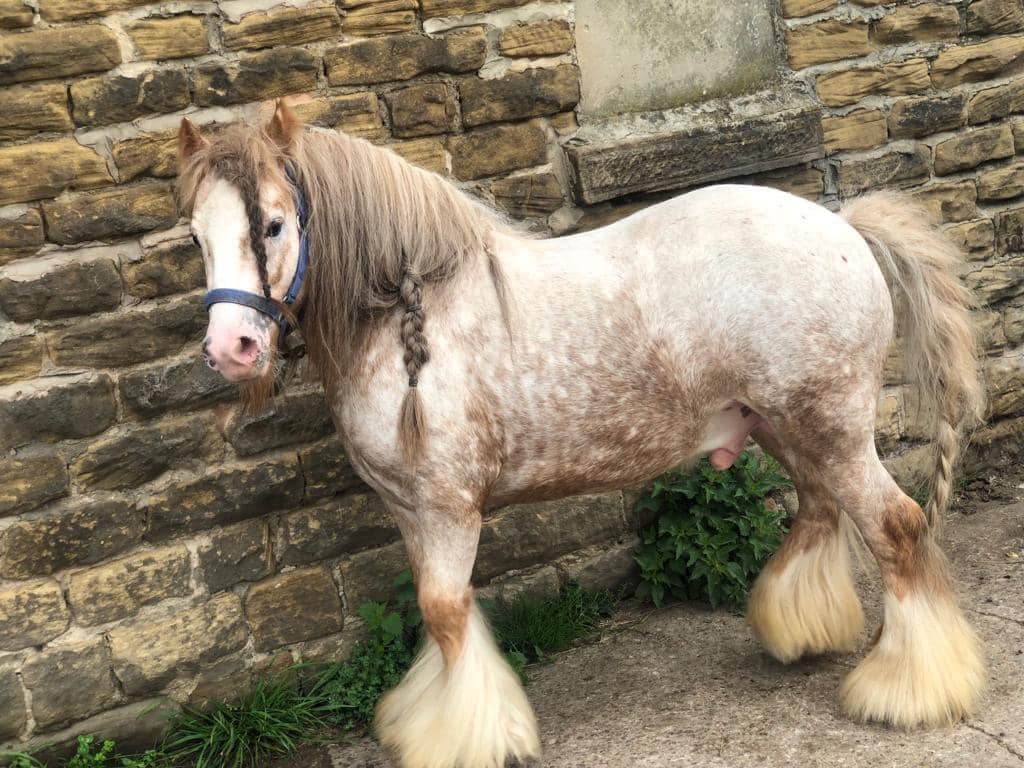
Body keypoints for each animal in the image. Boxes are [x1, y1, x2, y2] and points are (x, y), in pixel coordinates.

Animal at [180, 103, 987, 768]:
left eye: (274, 225)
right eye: (197, 235)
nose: (231, 349)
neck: (415, 316)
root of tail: (845, 226)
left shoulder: (446, 510)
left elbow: (445, 612)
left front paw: (467, 737)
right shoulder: (411, 512)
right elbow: (437, 614)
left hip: (832, 431)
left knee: (896, 526)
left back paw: (907, 690)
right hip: (788, 428)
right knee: (820, 511)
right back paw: (801, 631)